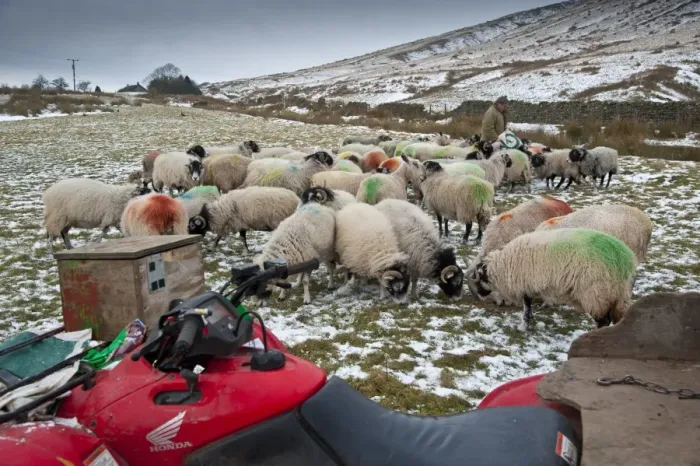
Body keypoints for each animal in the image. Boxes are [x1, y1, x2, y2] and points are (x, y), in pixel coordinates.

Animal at [468, 228, 637, 331]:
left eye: (479, 278)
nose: (481, 296)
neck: (503, 265)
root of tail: (625, 259)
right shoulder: (529, 285)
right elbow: (528, 305)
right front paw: (529, 321)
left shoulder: (525, 283)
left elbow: (526, 306)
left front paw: (523, 326)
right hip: (614, 294)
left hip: (596, 292)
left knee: (603, 321)